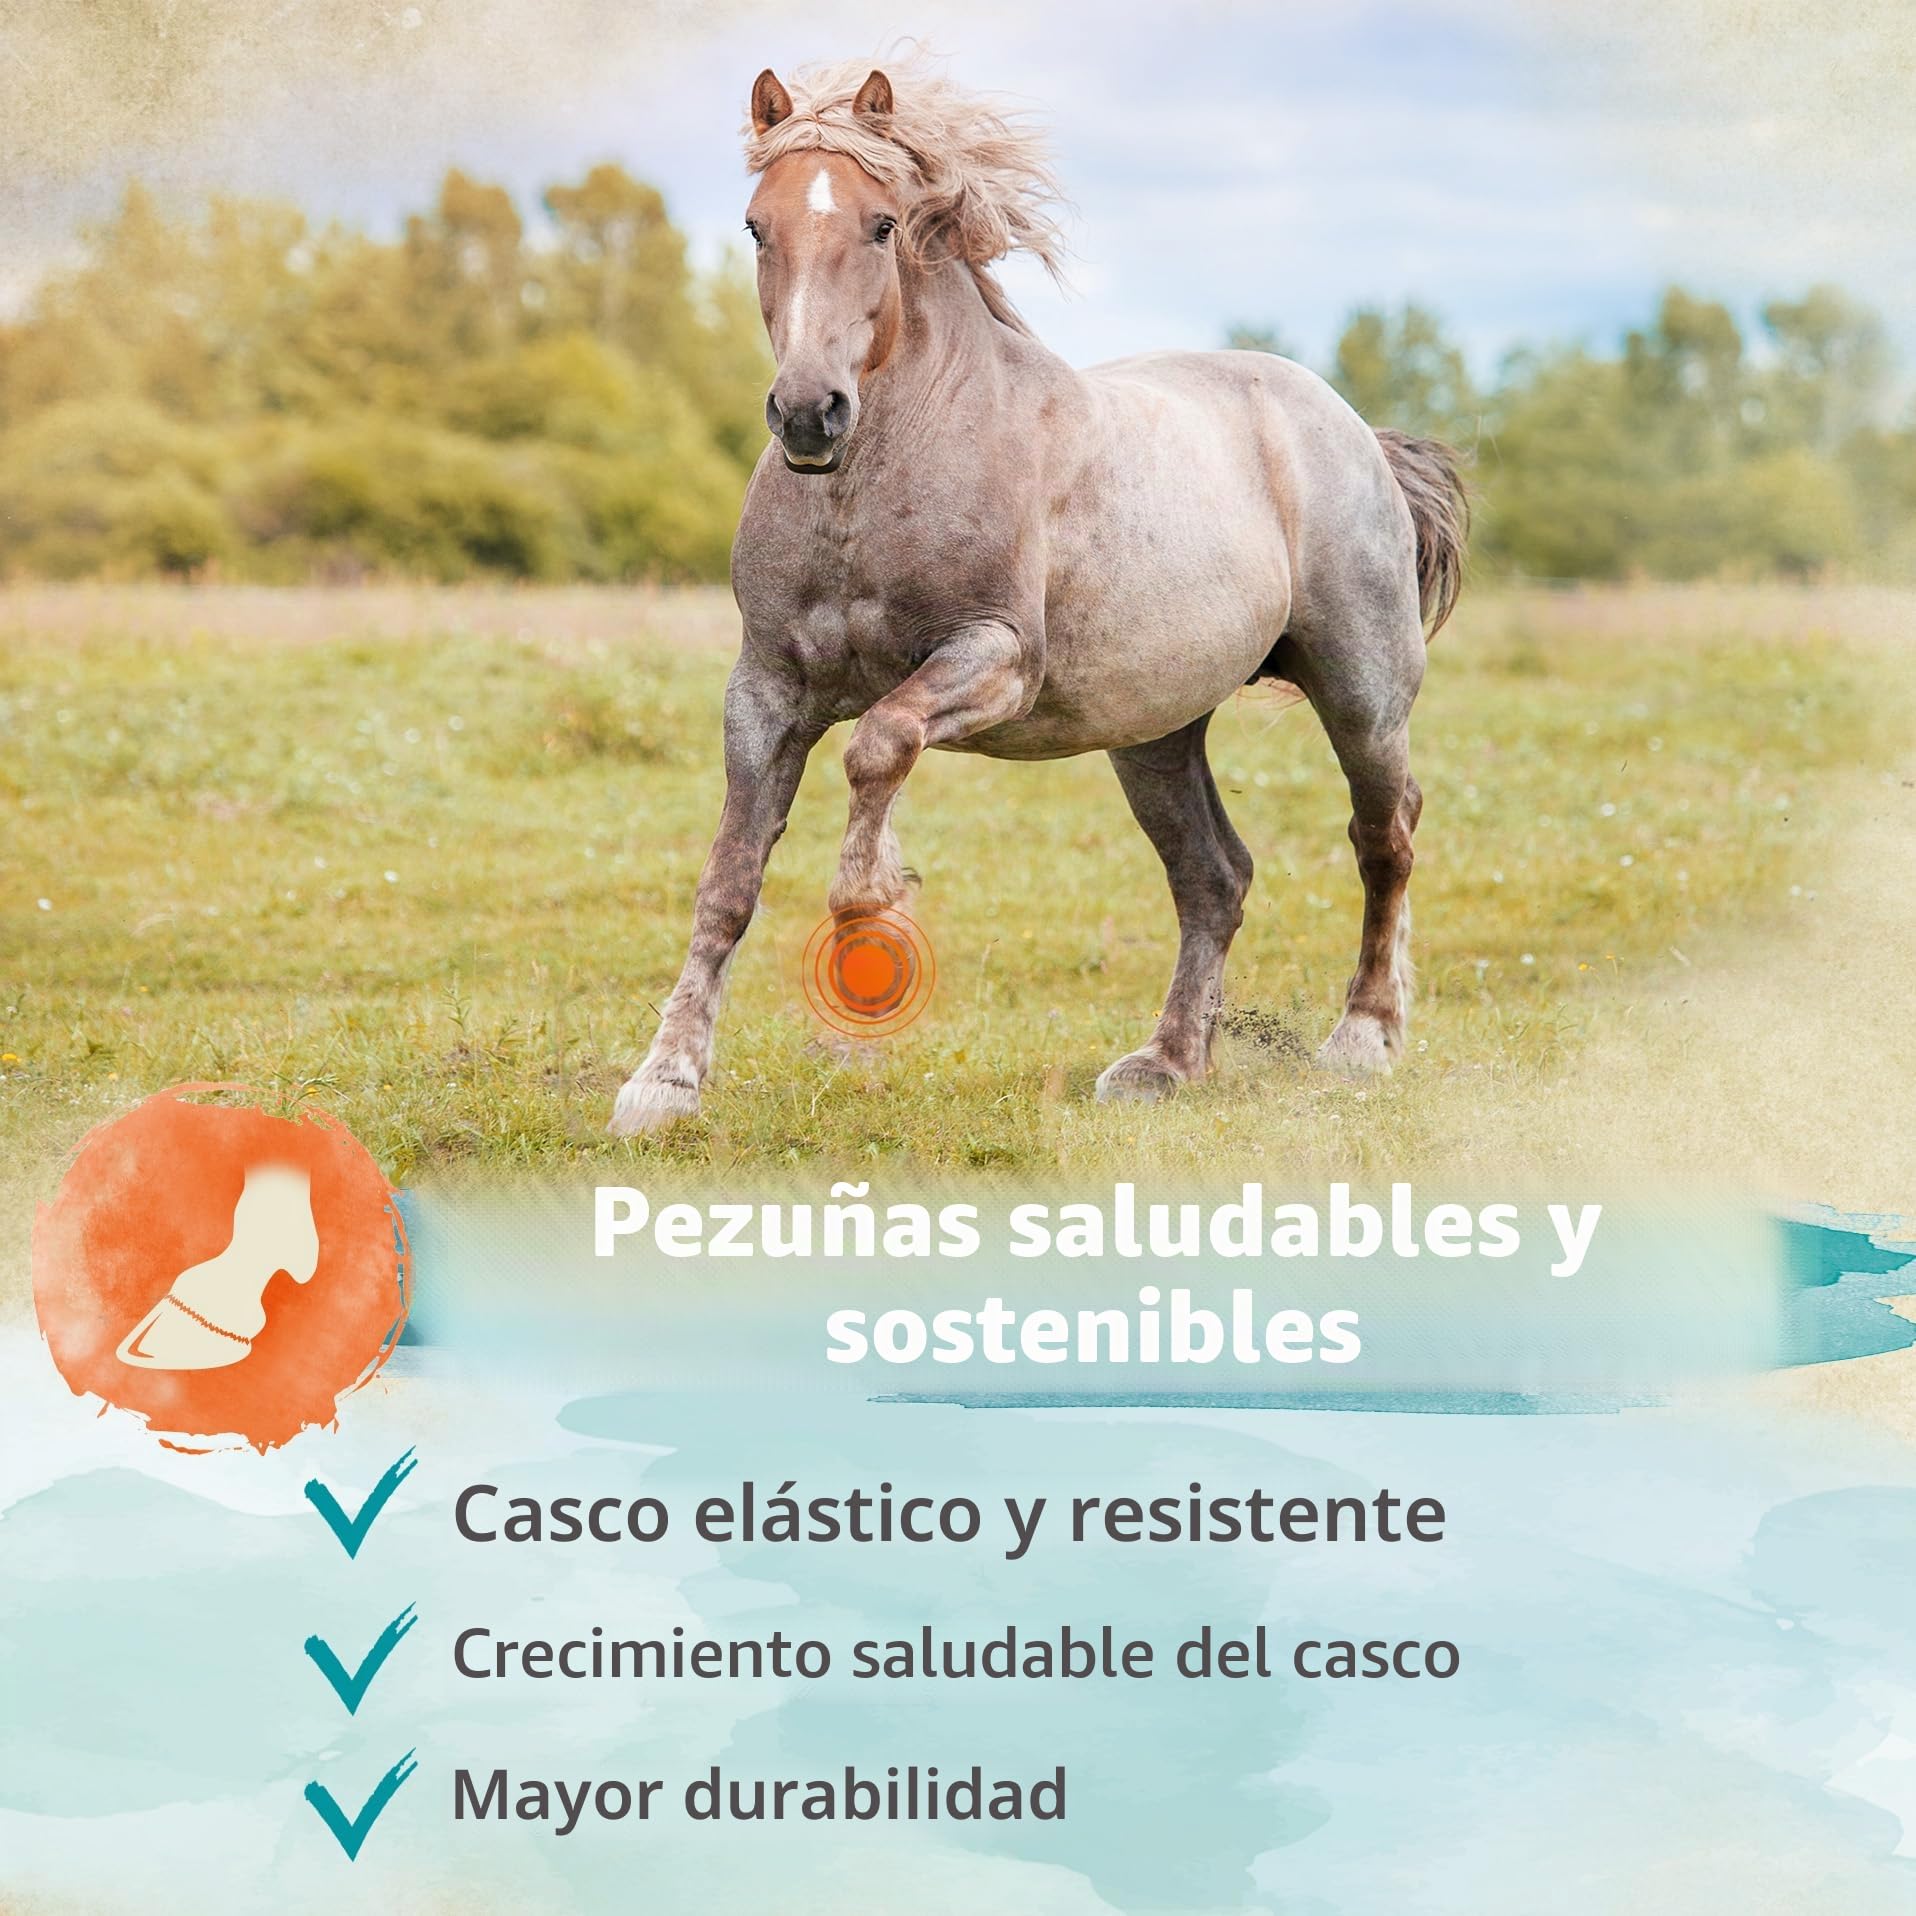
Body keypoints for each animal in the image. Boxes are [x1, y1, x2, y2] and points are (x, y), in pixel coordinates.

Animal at [610, 55, 1467, 1137]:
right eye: (758, 227)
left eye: (880, 225)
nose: (808, 414)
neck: (873, 486)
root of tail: (1356, 432)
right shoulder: (762, 692)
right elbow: (728, 880)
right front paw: (662, 1081)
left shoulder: (997, 659)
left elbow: (879, 741)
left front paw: (872, 896)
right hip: (1155, 733)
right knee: (1214, 877)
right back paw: (1164, 1062)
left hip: (1360, 691)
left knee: (1382, 836)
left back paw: (1362, 1037)